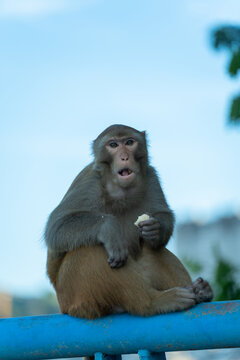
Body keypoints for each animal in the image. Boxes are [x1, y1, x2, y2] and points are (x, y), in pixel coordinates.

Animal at [44, 124, 213, 318]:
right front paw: (109, 228)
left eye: (130, 142)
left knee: (153, 250)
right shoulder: (88, 181)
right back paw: (152, 302)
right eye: (113, 145)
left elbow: (162, 214)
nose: (124, 156)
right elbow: (56, 228)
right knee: (89, 249)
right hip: (75, 295)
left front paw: (155, 229)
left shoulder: (151, 175)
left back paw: (200, 291)